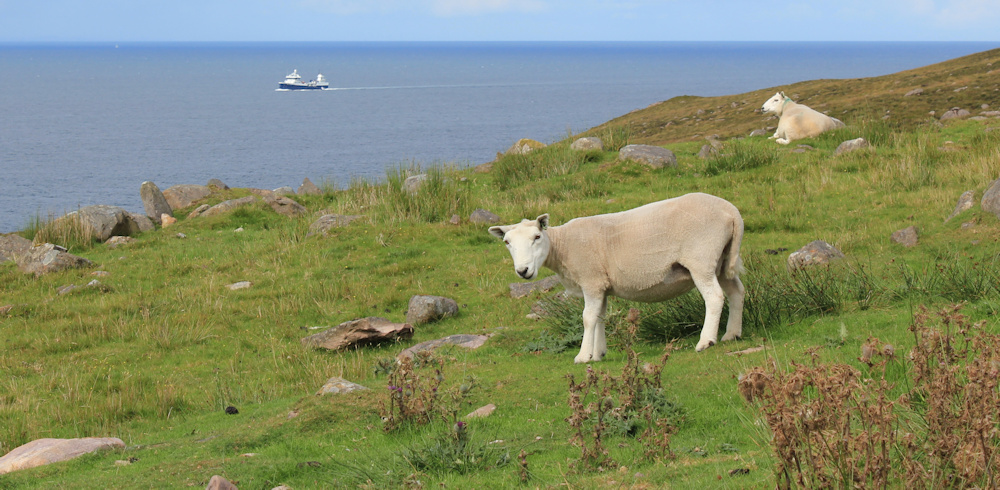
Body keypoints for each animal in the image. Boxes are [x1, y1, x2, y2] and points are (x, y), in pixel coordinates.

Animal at [489, 193, 745, 363]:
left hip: (701, 258)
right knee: (736, 292)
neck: (563, 246)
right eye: (507, 242)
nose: (523, 271)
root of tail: (731, 211)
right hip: (721, 259)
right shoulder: (602, 285)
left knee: (714, 297)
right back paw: (731, 334)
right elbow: (600, 317)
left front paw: (583, 356)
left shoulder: (591, 280)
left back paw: (706, 341)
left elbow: (587, 318)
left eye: (537, 236)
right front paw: (598, 353)